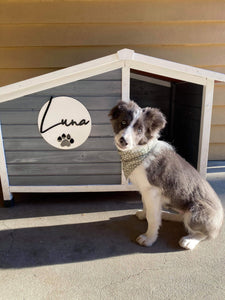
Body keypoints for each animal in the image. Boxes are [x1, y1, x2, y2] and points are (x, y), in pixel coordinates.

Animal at [109, 99, 223, 250]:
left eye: (139, 130)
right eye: (123, 122)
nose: (123, 140)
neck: (141, 152)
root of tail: (220, 221)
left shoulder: (152, 191)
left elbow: (152, 218)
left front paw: (149, 238)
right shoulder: (146, 191)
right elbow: (146, 207)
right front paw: (144, 214)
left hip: (195, 211)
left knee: (206, 234)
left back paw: (190, 240)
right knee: (181, 218)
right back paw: (166, 215)